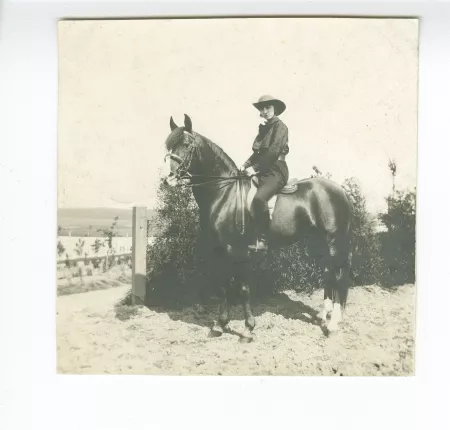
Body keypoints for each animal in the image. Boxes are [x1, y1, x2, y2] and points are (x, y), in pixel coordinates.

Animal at [163, 114, 354, 342]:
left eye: (186, 144)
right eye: (168, 145)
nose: (169, 180)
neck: (224, 193)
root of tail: (339, 191)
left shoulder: (238, 251)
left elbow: (243, 289)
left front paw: (248, 329)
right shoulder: (218, 252)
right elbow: (221, 288)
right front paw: (219, 325)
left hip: (333, 240)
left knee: (338, 274)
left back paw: (333, 324)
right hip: (316, 242)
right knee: (328, 272)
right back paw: (323, 314)